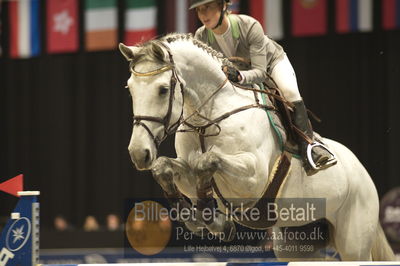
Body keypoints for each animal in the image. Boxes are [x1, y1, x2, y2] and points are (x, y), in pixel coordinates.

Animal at [118, 33, 394, 262]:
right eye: (129, 89)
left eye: (163, 89)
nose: (138, 153)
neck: (209, 117)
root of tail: (362, 170)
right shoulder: (185, 172)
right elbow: (165, 167)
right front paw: (199, 219)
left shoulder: (253, 179)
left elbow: (207, 161)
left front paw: (215, 222)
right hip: (299, 240)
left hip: (354, 240)